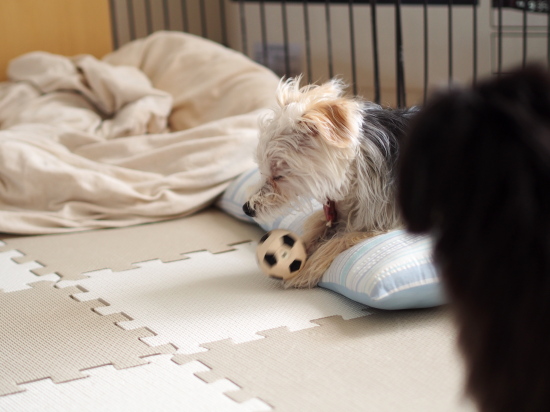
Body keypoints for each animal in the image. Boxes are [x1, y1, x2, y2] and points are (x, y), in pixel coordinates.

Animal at [245, 76, 418, 286]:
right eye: (261, 169)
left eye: (279, 175)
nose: (247, 208)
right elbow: (314, 229)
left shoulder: (383, 222)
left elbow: (340, 239)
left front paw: (306, 271)